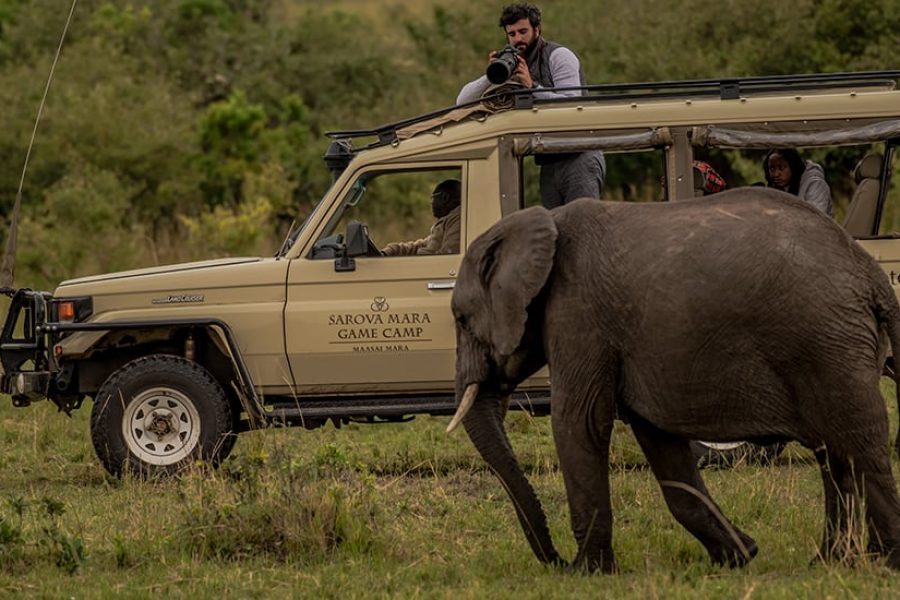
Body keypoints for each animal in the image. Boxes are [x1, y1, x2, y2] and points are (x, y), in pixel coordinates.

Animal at [446, 189, 900, 572]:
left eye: (461, 319)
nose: (555, 560)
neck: (543, 222)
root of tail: (869, 271)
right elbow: (661, 442)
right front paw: (739, 556)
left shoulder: (578, 314)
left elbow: (580, 422)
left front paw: (588, 572)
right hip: (829, 346)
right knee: (834, 453)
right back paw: (830, 563)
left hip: (826, 343)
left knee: (860, 444)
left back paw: (882, 563)